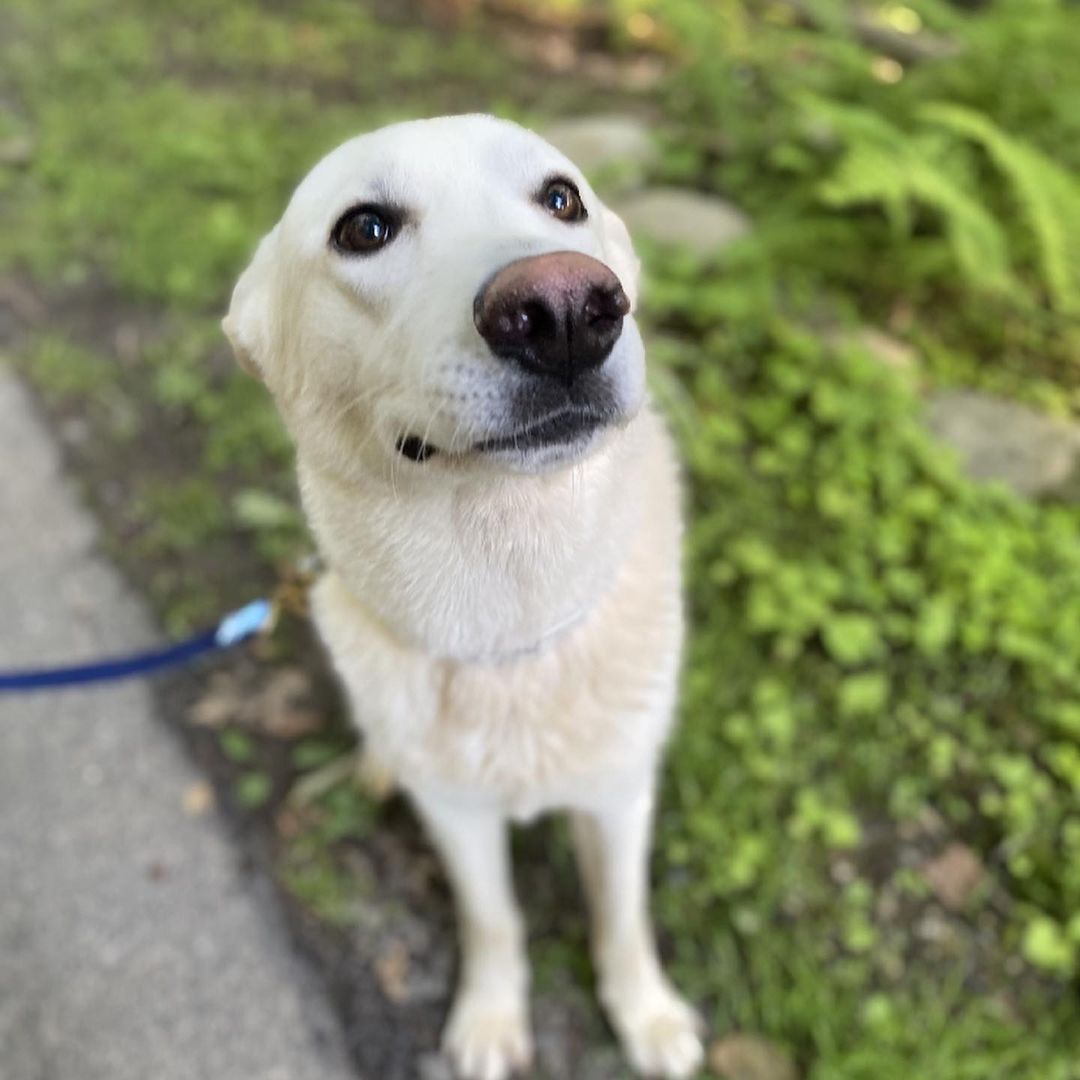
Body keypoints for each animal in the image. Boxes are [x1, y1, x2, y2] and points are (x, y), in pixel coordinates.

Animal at [223, 116, 704, 1080]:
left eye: (562, 198)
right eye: (364, 228)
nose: (564, 307)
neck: (506, 621)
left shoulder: (619, 794)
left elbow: (621, 916)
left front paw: (646, 1014)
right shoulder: (457, 816)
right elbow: (493, 920)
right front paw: (489, 1017)